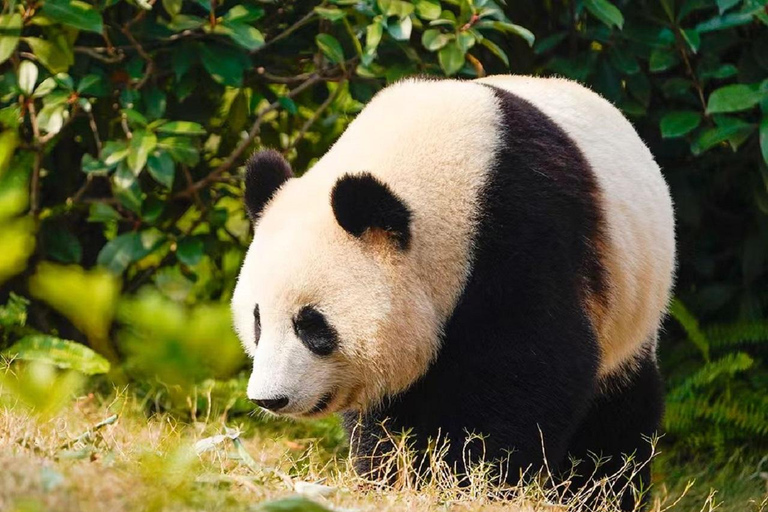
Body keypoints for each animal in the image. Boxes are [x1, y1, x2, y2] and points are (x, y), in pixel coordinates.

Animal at [231, 75, 675, 509]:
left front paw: (474, 481)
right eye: (257, 321)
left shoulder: (524, 235)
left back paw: (602, 492)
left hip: (630, 305)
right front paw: (391, 476)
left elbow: (531, 366)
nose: (269, 399)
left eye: (312, 325)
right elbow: (388, 410)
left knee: (617, 411)